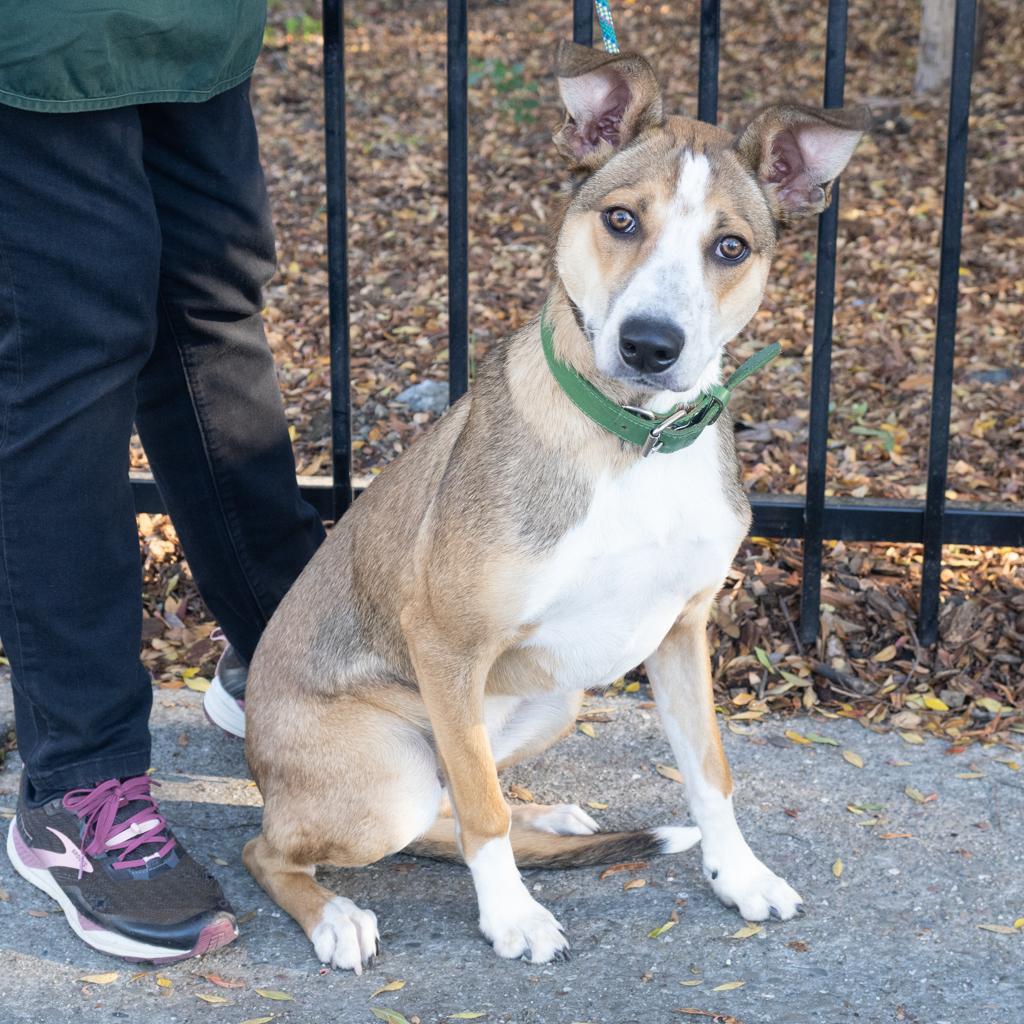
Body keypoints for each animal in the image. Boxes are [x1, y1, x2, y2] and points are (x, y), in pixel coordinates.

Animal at [241, 39, 864, 970]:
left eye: (730, 246)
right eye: (621, 220)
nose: (650, 345)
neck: (634, 443)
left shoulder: (681, 630)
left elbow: (710, 773)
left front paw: (739, 874)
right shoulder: (446, 643)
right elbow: (481, 812)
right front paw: (512, 917)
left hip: (553, 693)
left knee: (454, 793)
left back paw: (551, 816)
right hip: (389, 774)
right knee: (289, 843)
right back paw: (334, 917)